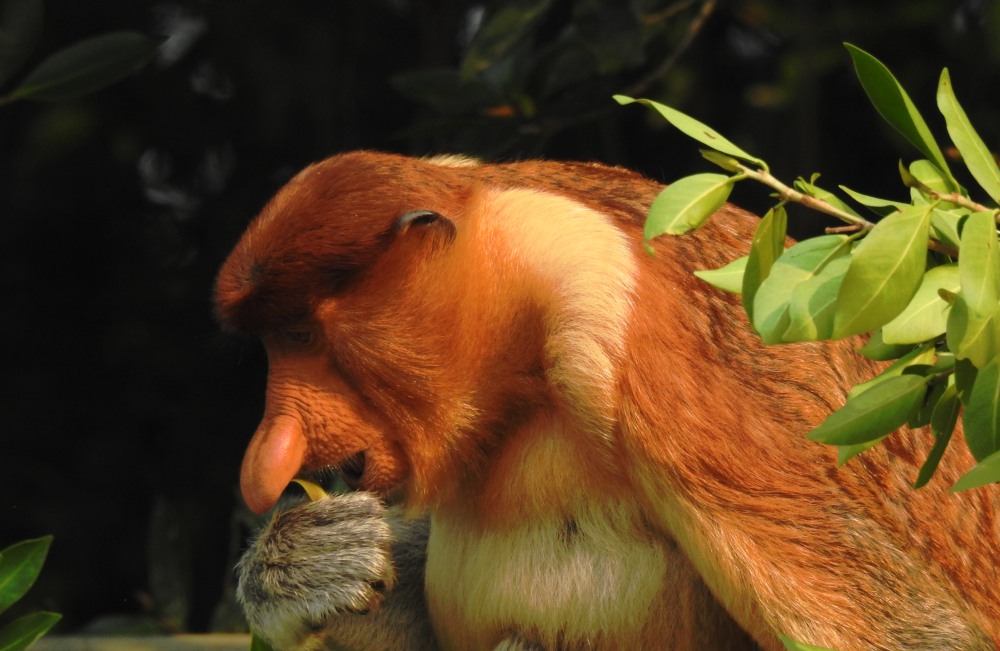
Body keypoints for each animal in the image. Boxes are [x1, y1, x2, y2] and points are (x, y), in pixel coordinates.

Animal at [217, 152, 1000, 651]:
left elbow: (916, 636)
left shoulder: (640, 346)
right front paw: (302, 566)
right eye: (274, 344)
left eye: (301, 335)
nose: (262, 462)